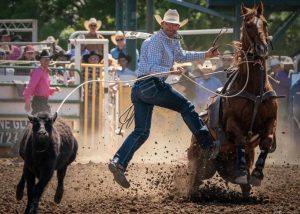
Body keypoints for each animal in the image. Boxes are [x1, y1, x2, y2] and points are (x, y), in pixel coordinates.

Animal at [188, 2, 276, 197]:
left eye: (265, 23)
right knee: (195, 178)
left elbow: (267, 141)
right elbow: (241, 139)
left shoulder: (271, 121)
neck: (254, 89)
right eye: (248, 25)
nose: (262, 49)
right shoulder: (232, 123)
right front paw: (242, 173)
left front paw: (257, 175)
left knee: (244, 186)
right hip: (199, 159)